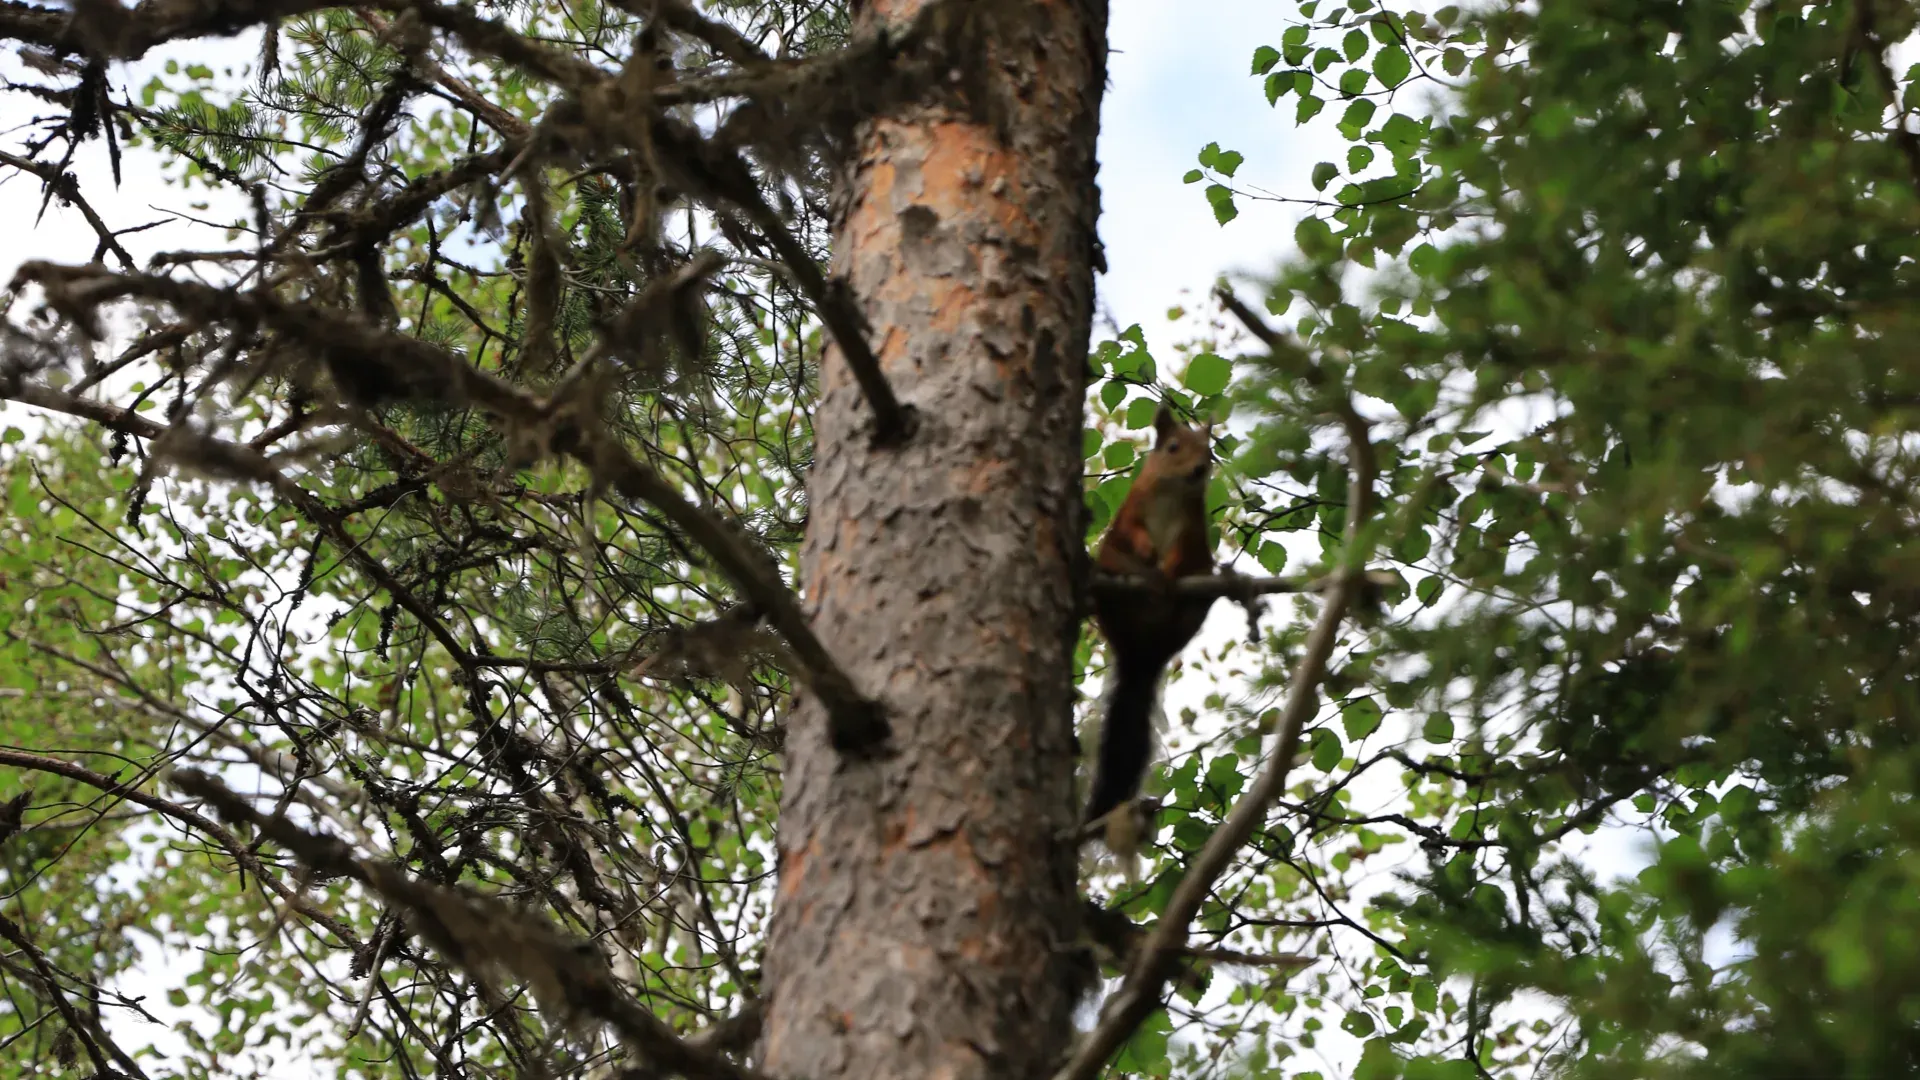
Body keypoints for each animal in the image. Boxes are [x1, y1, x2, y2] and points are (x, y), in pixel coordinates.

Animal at [1083, 401, 1217, 855]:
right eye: (1173, 446)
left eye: (1209, 449)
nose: (1199, 469)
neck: (1173, 491)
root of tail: (1141, 655)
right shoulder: (1132, 510)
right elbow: (1133, 533)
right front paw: (1147, 555)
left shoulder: (1192, 531)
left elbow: (1182, 553)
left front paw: (1170, 573)